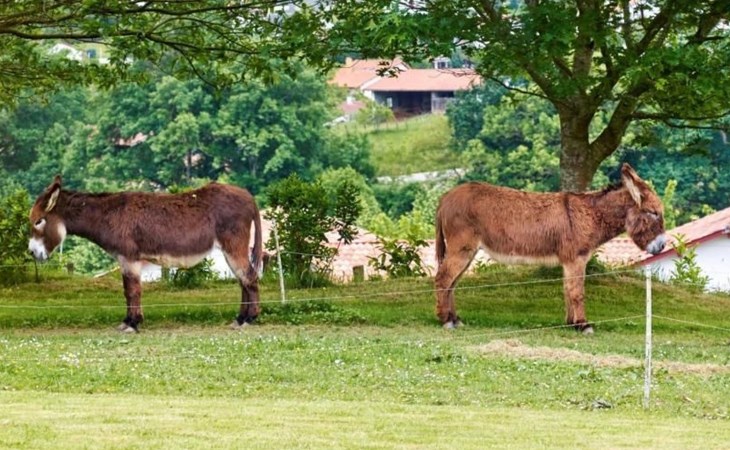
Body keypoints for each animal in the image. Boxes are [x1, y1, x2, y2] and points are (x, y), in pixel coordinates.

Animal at [28, 176, 262, 332]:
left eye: (38, 221)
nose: (31, 253)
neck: (108, 216)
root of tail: (248, 196)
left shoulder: (128, 257)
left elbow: (132, 291)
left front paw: (133, 324)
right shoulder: (125, 260)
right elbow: (128, 291)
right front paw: (128, 321)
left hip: (233, 245)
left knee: (249, 277)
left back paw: (248, 319)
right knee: (243, 280)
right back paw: (240, 317)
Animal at [434, 163, 667, 334]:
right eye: (653, 213)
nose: (663, 245)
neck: (590, 215)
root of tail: (445, 197)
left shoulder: (569, 261)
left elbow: (567, 289)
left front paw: (571, 323)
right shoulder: (576, 259)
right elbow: (577, 292)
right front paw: (583, 325)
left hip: (468, 251)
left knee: (451, 283)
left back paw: (455, 319)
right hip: (462, 248)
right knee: (443, 279)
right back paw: (445, 321)